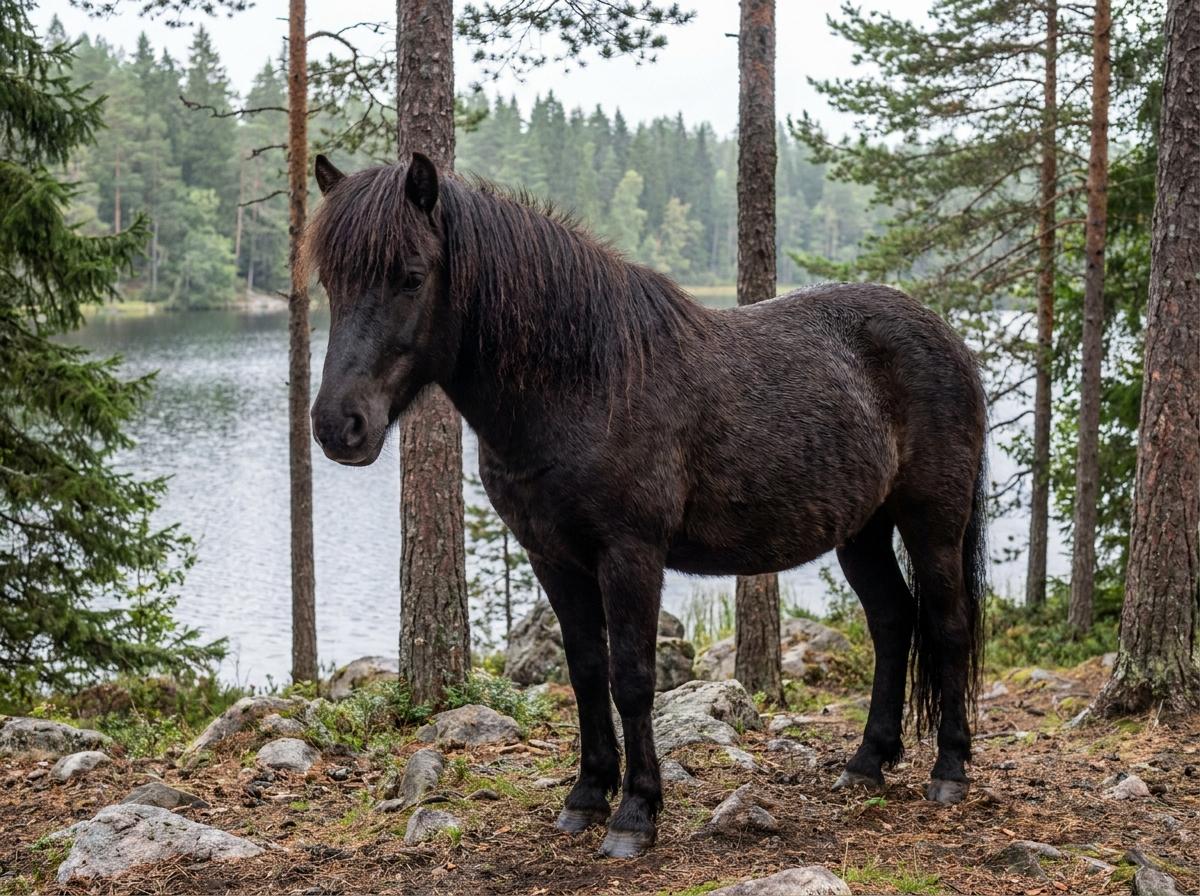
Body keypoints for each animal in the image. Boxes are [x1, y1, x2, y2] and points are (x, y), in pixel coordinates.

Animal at [303, 152, 989, 859]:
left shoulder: (630, 554)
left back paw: (949, 770)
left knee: (948, 624)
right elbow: (585, 672)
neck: (587, 381)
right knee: (892, 623)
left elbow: (632, 678)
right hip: (862, 532)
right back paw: (867, 762)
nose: (337, 426)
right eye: (330, 282)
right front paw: (586, 796)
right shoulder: (554, 559)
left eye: (411, 277)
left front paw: (636, 812)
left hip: (932, 524)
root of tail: (948, 339)